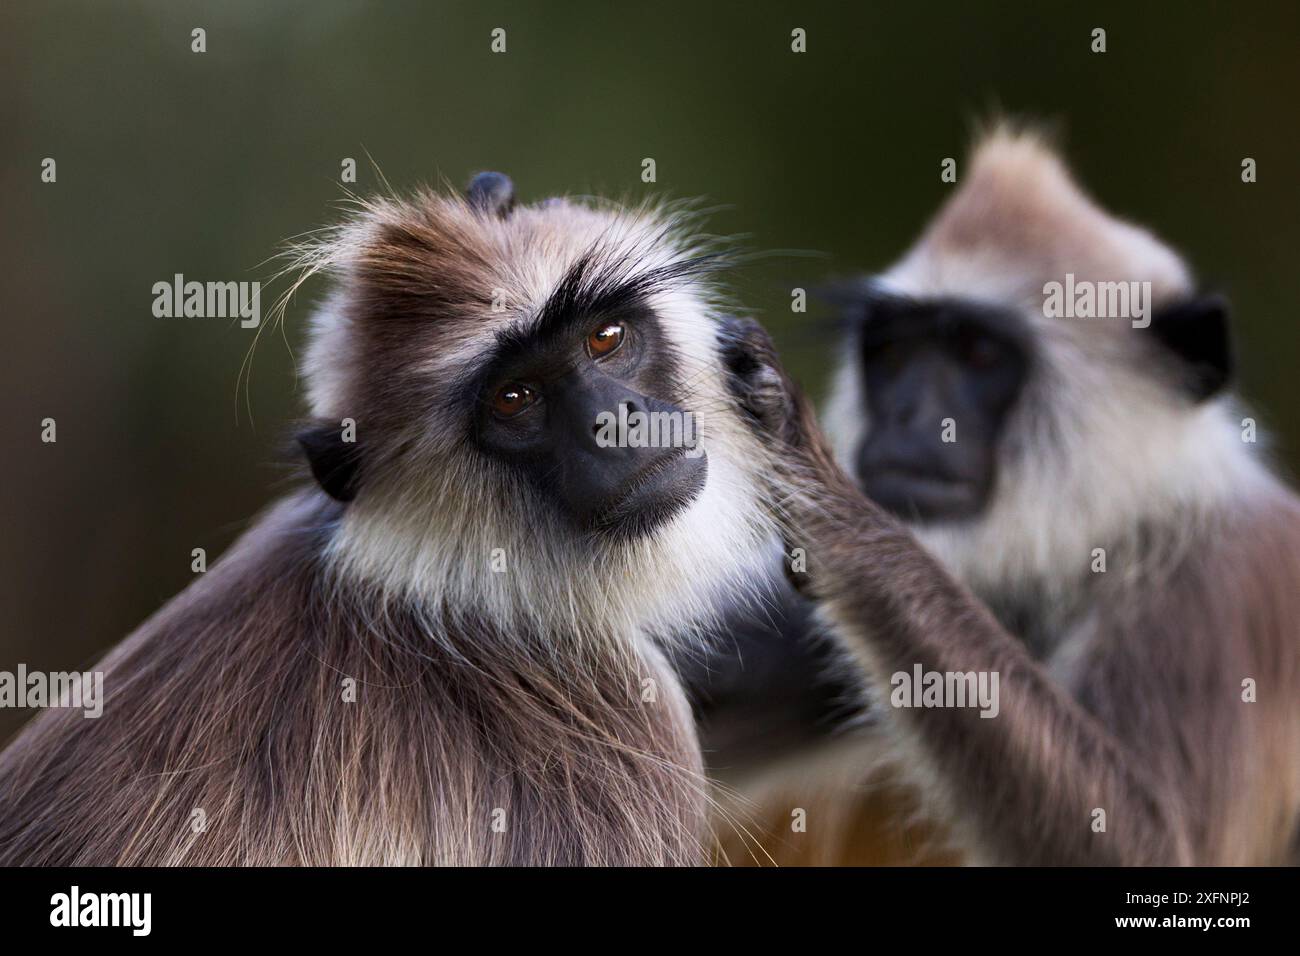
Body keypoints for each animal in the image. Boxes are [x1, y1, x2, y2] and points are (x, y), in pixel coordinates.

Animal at [722, 127, 1300, 868]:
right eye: (894, 354)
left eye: (978, 353)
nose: (907, 415)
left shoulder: (1220, 587)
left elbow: (1155, 848)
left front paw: (833, 508)